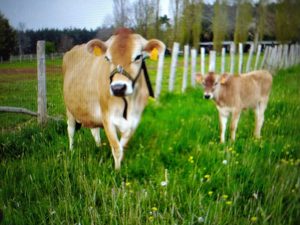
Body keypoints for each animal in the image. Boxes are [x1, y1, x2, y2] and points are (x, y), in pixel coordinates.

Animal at [62, 28, 165, 169]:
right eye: (107, 58)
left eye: (138, 57)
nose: (118, 88)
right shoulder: (107, 117)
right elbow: (117, 148)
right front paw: (117, 171)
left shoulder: (135, 119)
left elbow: (122, 144)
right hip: (69, 109)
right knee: (71, 131)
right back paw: (72, 151)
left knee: (95, 131)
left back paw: (98, 147)